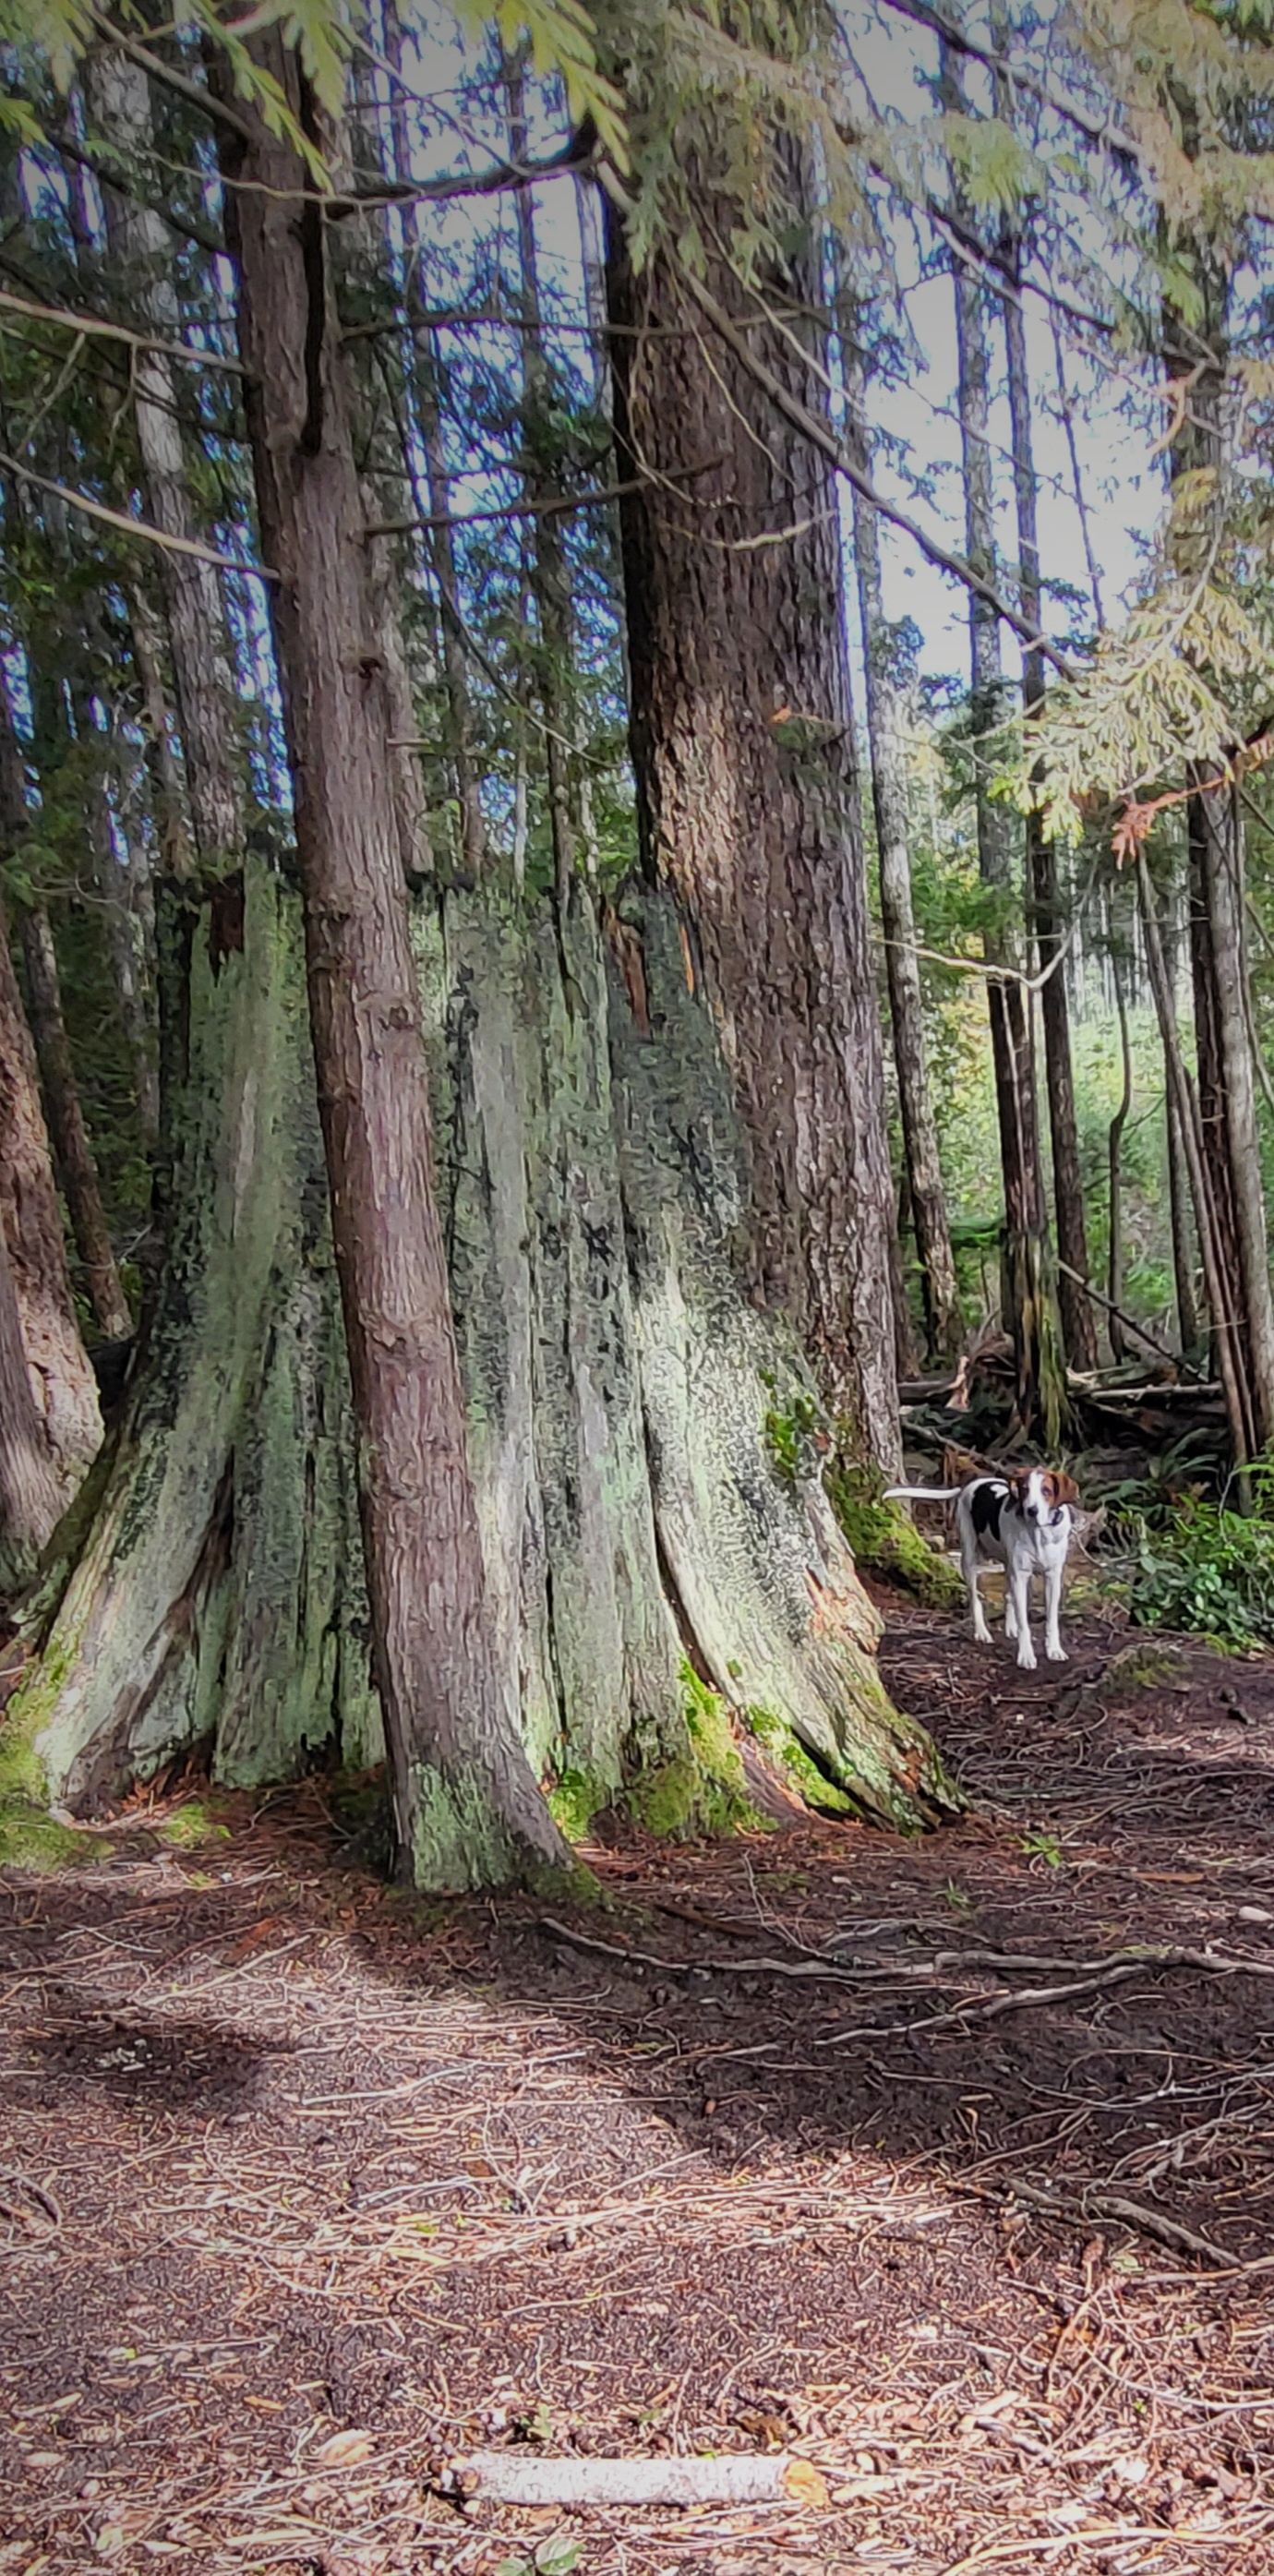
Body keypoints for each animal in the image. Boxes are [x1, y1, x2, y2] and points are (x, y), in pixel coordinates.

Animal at [890, 1473, 1080, 1668]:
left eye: (1046, 1491)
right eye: (1025, 1490)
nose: (1031, 1511)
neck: (1039, 1533)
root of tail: (973, 1483)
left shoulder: (1052, 1577)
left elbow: (1051, 1619)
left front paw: (1054, 1649)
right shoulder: (1020, 1576)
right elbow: (1024, 1624)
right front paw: (1026, 1655)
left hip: (1007, 1564)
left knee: (1007, 1595)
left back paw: (1010, 1627)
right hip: (970, 1558)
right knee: (975, 1599)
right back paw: (982, 1632)